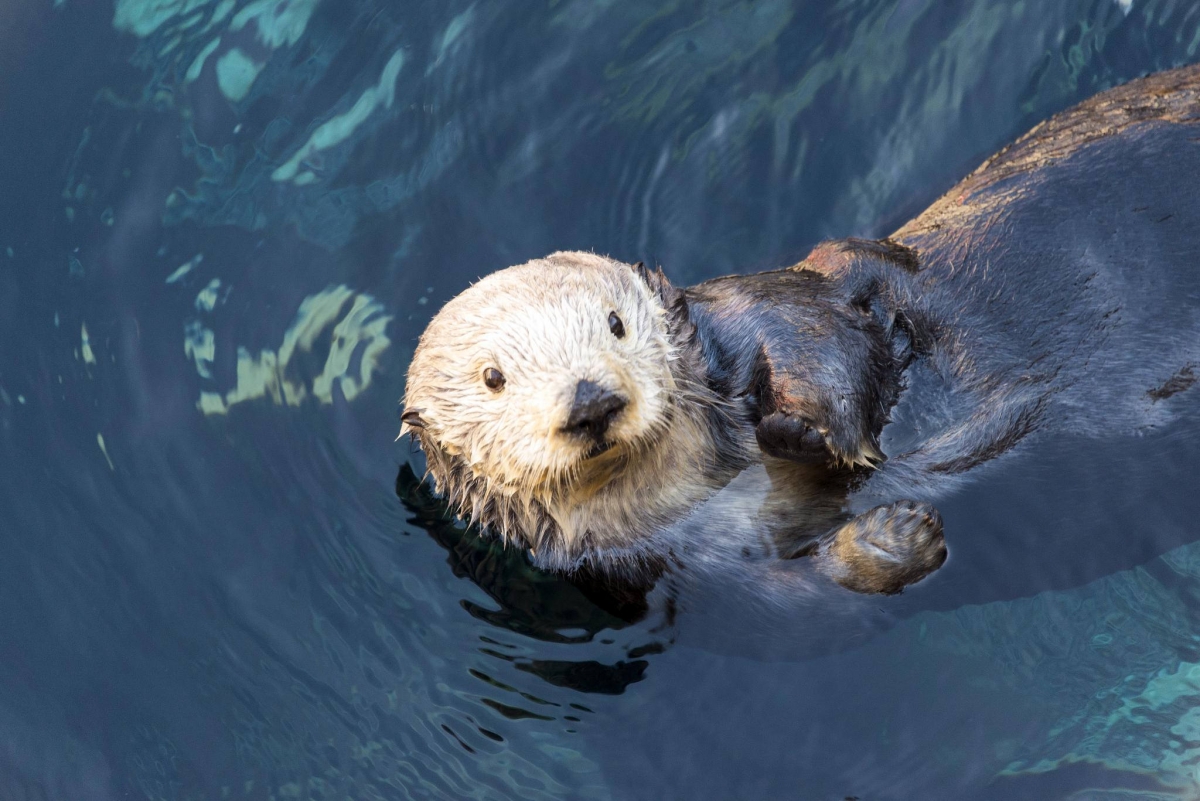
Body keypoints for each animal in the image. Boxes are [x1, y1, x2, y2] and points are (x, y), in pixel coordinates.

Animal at [400, 64, 1200, 594]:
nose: (591, 401)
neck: (700, 485)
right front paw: (900, 532)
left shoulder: (758, 306)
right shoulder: (692, 570)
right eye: (493, 377)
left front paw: (807, 430)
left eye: (616, 323)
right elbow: (808, 593)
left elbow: (818, 337)